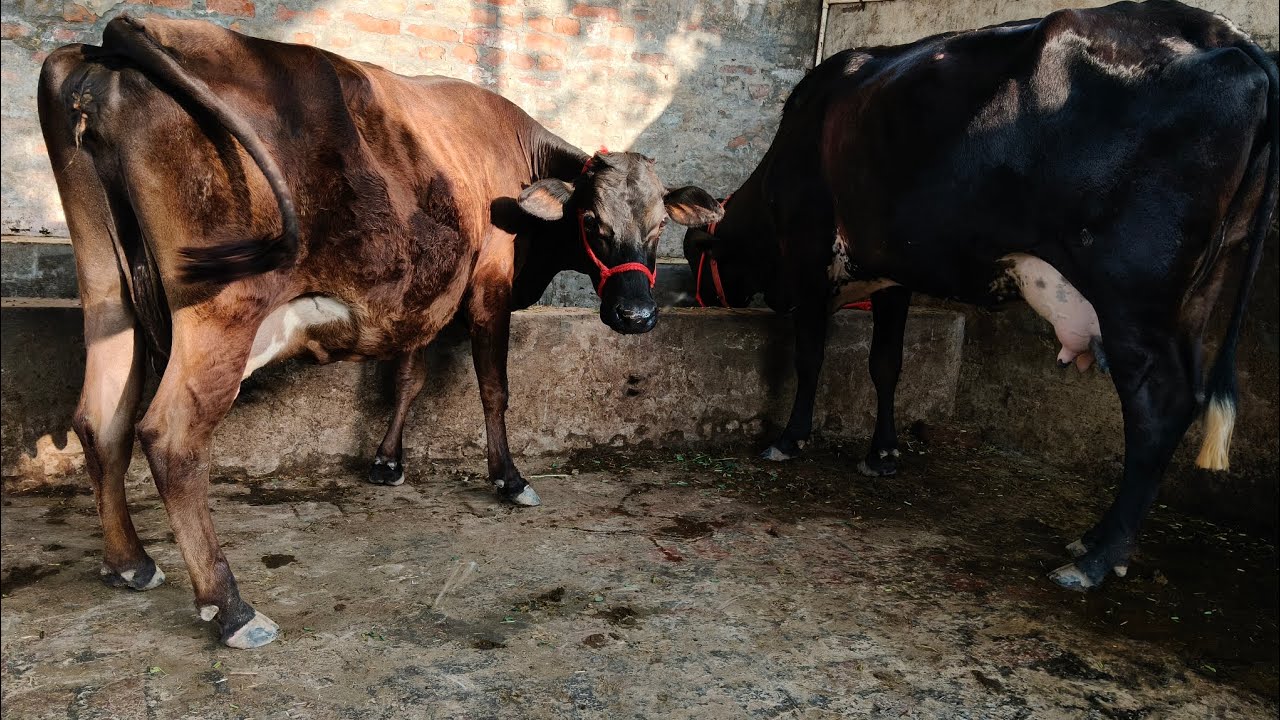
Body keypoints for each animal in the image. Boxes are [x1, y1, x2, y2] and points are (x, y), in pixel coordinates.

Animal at [38, 15, 721, 648]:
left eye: (660, 224)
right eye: (592, 222)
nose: (636, 316)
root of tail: (121, 36)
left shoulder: (425, 296)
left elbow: (408, 377)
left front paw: (388, 461)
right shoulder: (489, 284)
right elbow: (494, 388)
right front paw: (509, 479)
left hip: (107, 291)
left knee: (101, 417)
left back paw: (129, 563)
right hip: (222, 309)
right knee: (170, 436)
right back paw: (230, 607)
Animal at [682, 0, 1277, 592]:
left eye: (694, 258)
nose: (698, 301)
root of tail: (1224, 32)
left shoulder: (809, 252)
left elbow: (810, 358)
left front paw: (789, 439)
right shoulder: (892, 270)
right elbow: (886, 363)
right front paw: (883, 452)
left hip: (1133, 295)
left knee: (1160, 406)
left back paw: (1097, 559)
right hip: (1197, 293)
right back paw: (1092, 540)